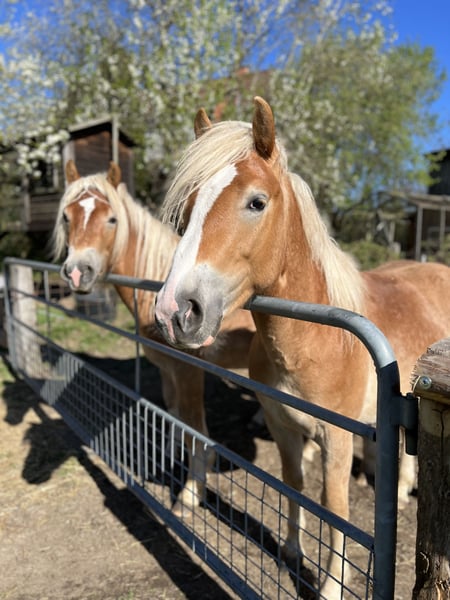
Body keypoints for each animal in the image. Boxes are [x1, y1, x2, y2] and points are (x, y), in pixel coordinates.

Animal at [51, 160, 256, 516]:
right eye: (67, 216)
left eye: (112, 219)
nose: (78, 272)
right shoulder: (166, 365)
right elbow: (173, 411)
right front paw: (173, 454)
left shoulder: (188, 369)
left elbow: (194, 428)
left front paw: (189, 494)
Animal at [154, 96, 450, 598]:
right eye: (190, 206)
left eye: (256, 202)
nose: (177, 311)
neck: (317, 341)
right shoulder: (282, 424)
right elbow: (292, 483)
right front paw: (292, 550)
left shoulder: (336, 438)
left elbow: (335, 508)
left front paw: (331, 585)